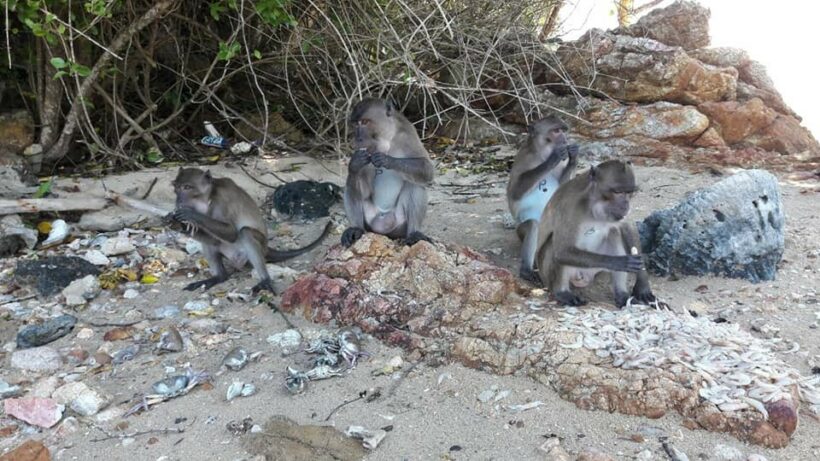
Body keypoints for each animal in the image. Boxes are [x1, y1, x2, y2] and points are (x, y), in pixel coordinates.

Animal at [168, 167, 332, 292]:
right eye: (176, 188)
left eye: (187, 187)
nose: (179, 200)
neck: (204, 199)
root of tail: (266, 249)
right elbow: (211, 237)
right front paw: (175, 223)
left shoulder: (221, 201)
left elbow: (232, 233)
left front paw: (190, 215)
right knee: (212, 243)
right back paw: (219, 277)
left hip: (253, 250)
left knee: (245, 233)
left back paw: (265, 280)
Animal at [506, 116, 576, 280]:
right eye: (556, 131)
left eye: (562, 130)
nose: (564, 139)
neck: (542, 153)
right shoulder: (523, 158)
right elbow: (515, 192)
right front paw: (552, 159)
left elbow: (560, 189)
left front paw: (573, 159)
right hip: (522, 231)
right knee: (532, 225)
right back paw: (526, 269)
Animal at [536, 160, 656, 308]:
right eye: (617, 192)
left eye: (629, 192)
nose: (626, 204)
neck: (594, 203)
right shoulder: (569, 206)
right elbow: (562, 250)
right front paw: (620, 262)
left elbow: (628, 227)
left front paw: (642, 284)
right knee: (553, 244)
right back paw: (562, 292)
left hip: (593, 270)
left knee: (613, 232)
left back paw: (622, 295)